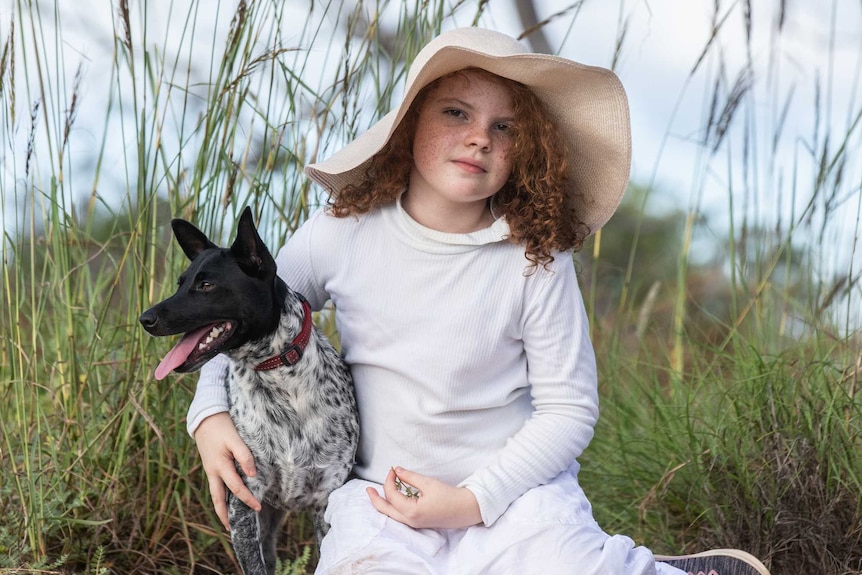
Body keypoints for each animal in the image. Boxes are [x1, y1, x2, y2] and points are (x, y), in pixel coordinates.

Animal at [140, 207, 360, 575]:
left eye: (206, 285)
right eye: (181, 283)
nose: (145, 318)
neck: (280, 378)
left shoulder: (327, 501)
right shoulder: (244, 503)